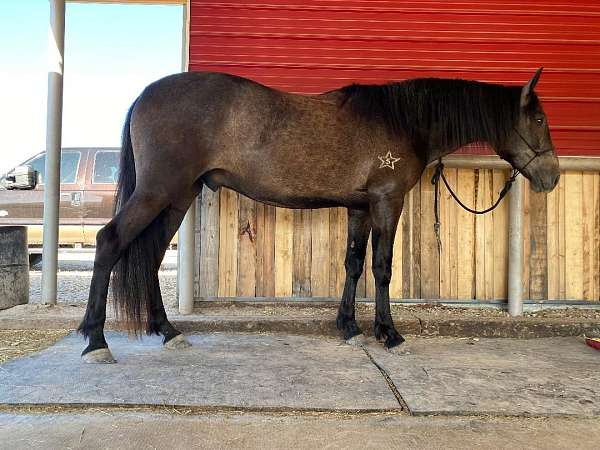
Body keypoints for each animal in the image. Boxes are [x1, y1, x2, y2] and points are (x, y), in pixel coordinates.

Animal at [78, 68, 556, 362]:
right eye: (537, 119)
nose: (551, 176)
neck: (402, 120)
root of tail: (146, 95)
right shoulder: (386, 202)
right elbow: (382, 268)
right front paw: (389, 333)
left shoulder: (360, 207)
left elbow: (354, 264)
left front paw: (348, 326)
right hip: (157, 193)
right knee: (109, 242)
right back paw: (96, 340)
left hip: (177, 198)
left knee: (151, 257)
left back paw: (167, 331)